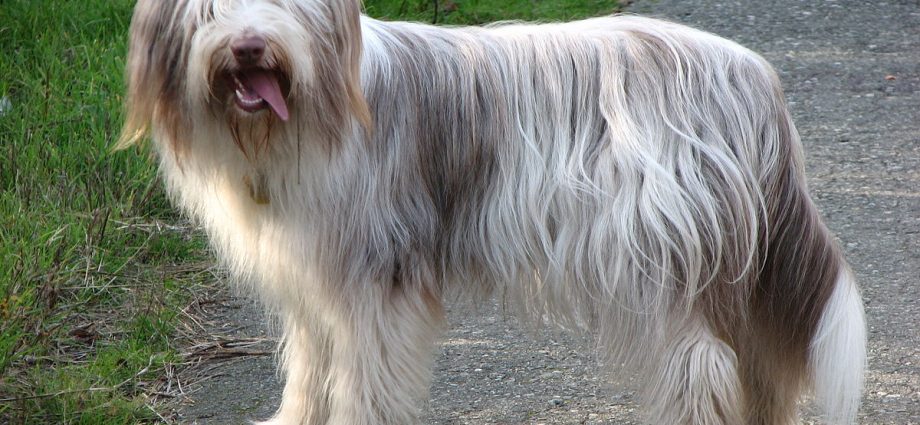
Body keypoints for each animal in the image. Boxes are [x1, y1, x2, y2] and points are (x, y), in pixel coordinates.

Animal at [118, 1, 868, 422]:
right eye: (208, 11)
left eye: (282, 7)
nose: (249, 45)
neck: (299, 119)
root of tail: (755, 77)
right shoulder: (313, 276)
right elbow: (308, 367)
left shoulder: (377, 277)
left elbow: (365, 376)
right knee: (757, 363)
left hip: (660, 259)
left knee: (702, 367)